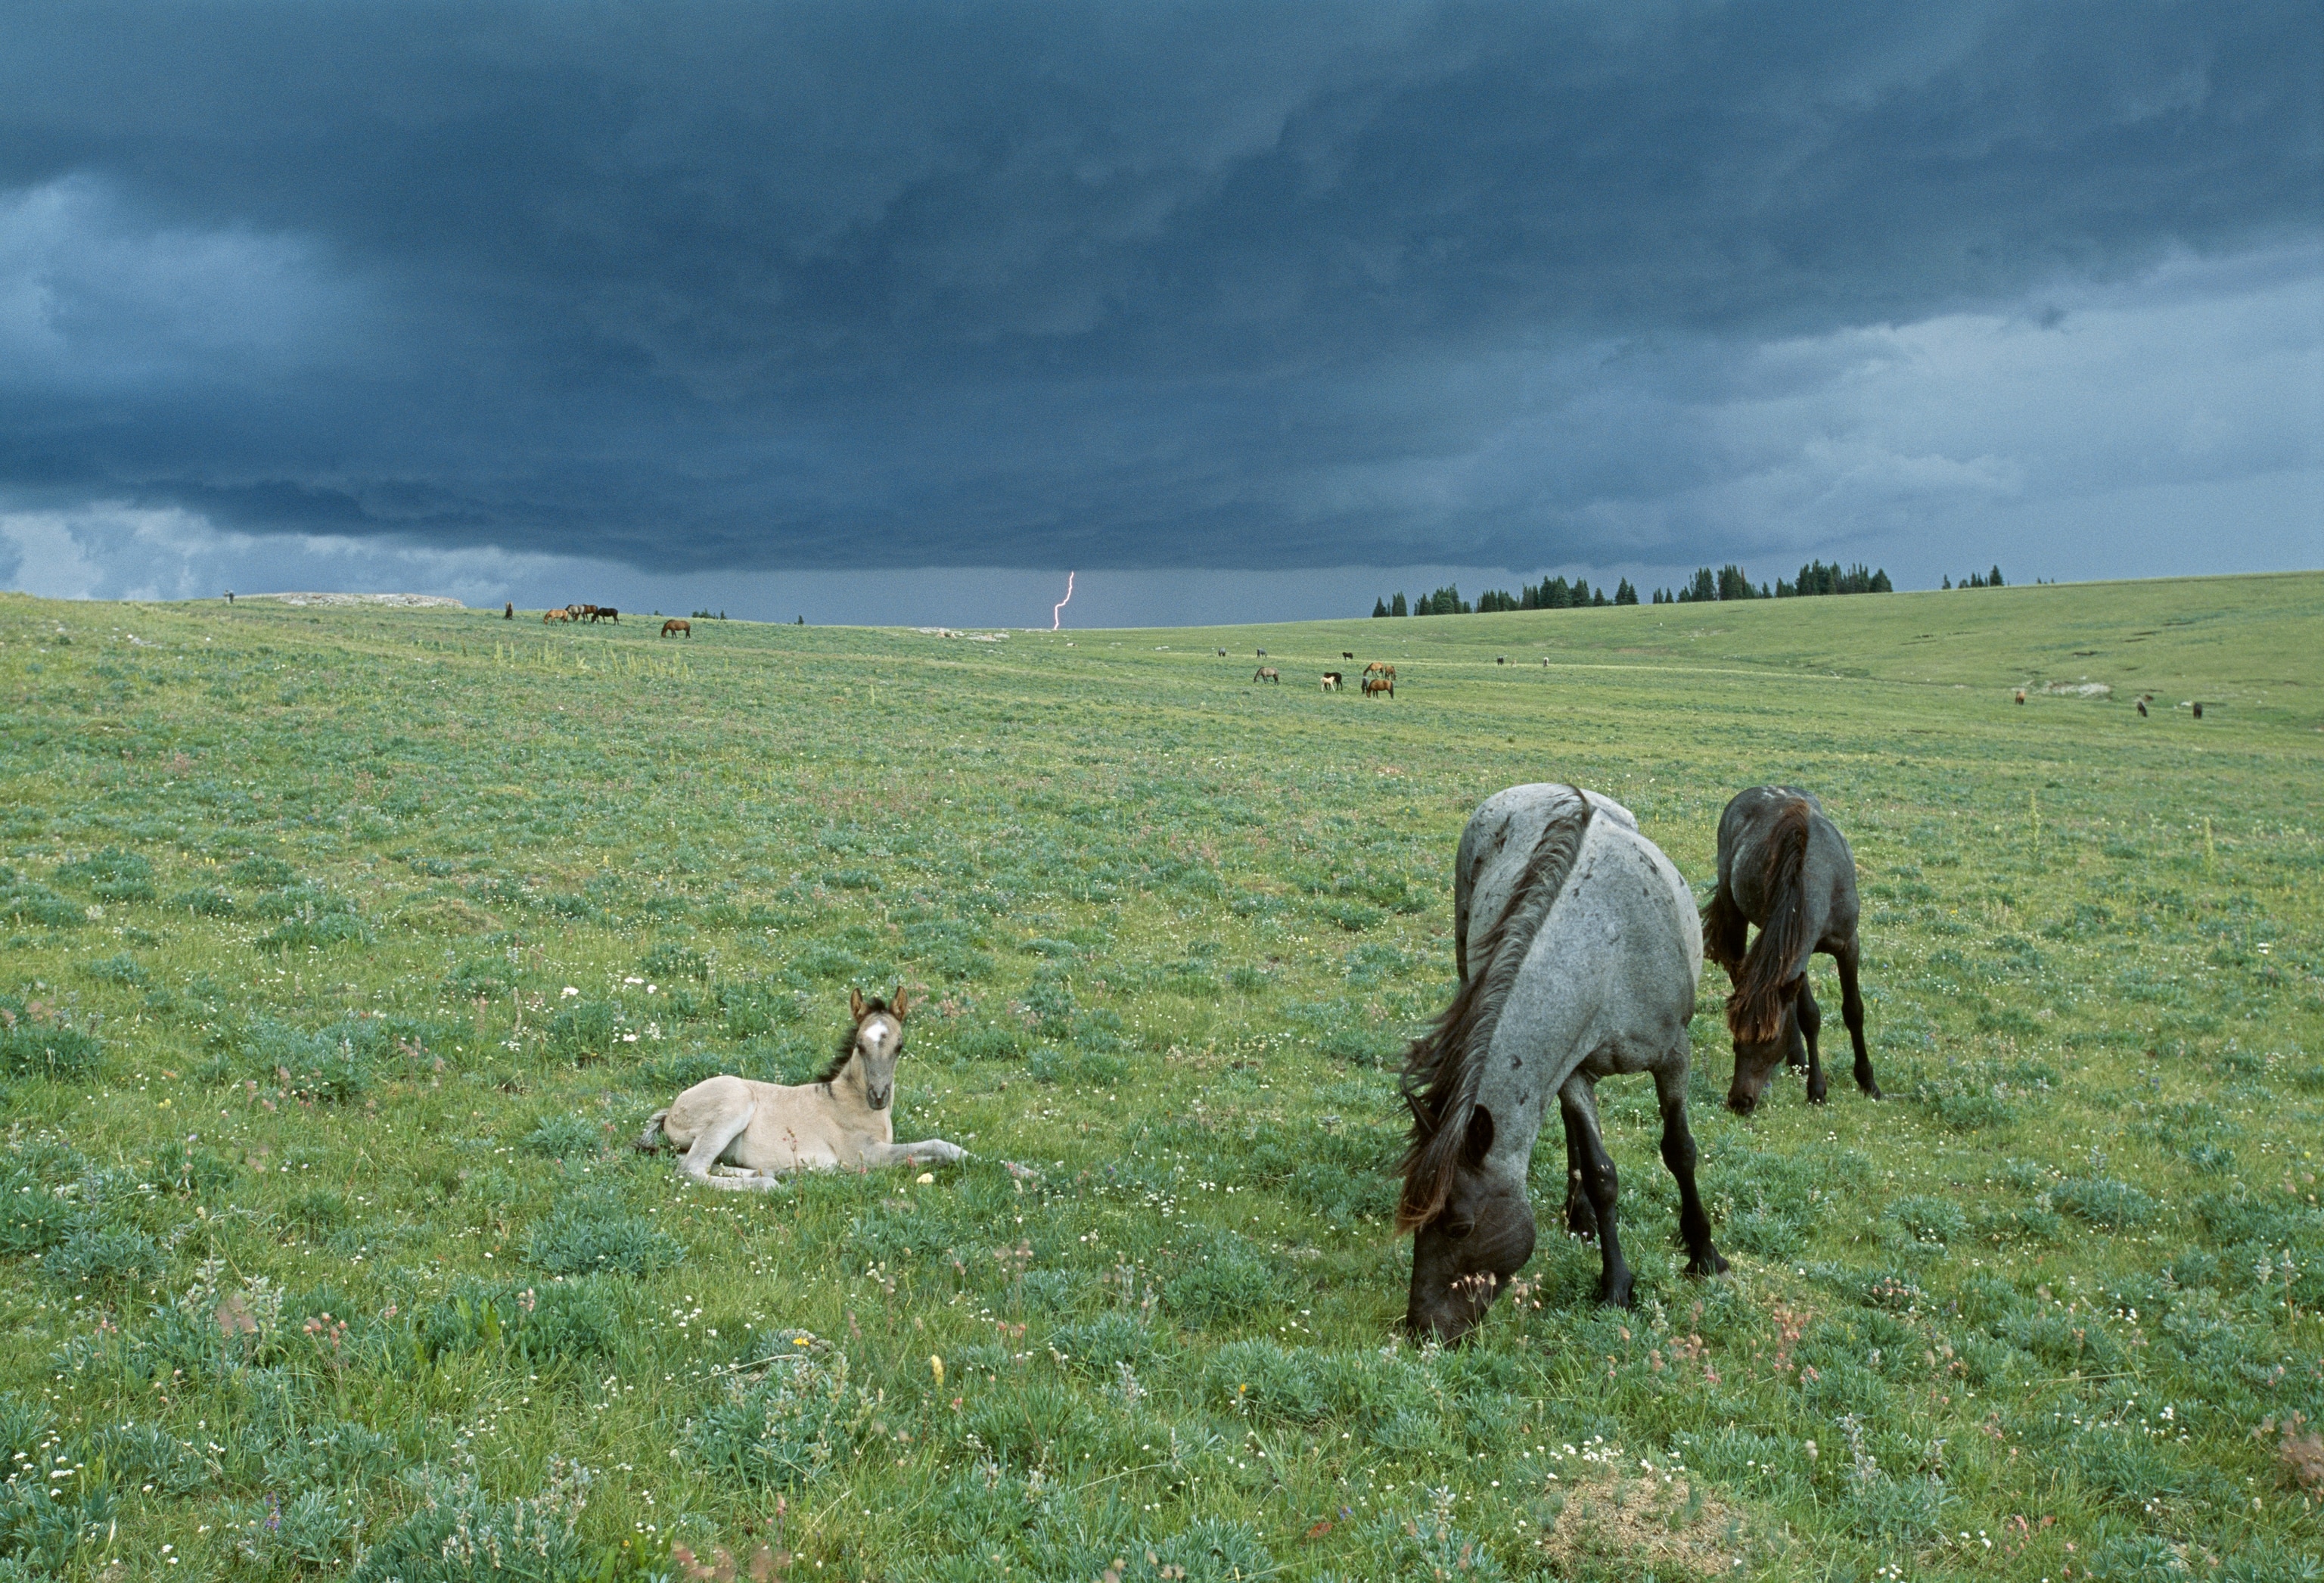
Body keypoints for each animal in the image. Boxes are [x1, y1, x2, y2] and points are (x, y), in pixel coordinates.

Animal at [635, 989, 966, 1189]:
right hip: (735, 1104)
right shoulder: (865, 1154)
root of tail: (671, 1112)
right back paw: (768, 1183)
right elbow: (937, 1145)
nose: (878, 1097)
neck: (847, 1101)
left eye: (900, 1046)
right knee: (690, 1170)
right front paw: (971, 1158)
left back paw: (775, 1172)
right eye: (860, 1046)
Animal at [1400, 784, 1724, 1343]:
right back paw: (1582, 1218)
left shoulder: (1674, 1055)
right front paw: (1616, 1285)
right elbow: (1601, 1173)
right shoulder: (1574, 1070)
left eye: (1460, 1227)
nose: (1423, 1329)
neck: (1608, 954)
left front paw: (1703, 1254)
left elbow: (1680, 1151)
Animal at [1698, 787, 1881, 1113]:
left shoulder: (1849, 945)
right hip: (1735, 914)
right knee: (1739, 969)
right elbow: (1809, 1016)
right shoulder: (1797, 951)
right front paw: (1817, 1089)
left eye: (1770, 1039)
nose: (1739, 1101)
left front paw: (1867, 1081)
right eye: (1735, 1038)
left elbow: (1853, 1010)